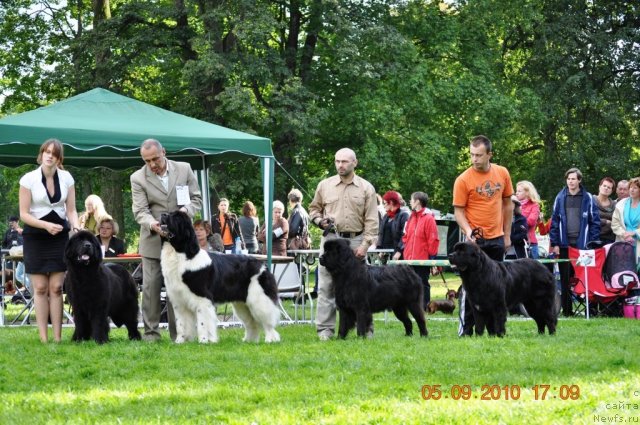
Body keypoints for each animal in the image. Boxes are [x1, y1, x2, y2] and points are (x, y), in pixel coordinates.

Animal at [159, 210, 278, 342]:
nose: (163, 214)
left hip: (259, 299)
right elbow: (181, 325)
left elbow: (202, 324)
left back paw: (270, 340)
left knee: (268, 322)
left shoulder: (203, 299)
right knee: (252, 323)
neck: (181, 254)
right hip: (242, 304)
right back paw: (249, 341)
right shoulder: (179, 302)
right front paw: (180, 342)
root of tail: (263, 265)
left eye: (176, 217)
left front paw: (204, 341)